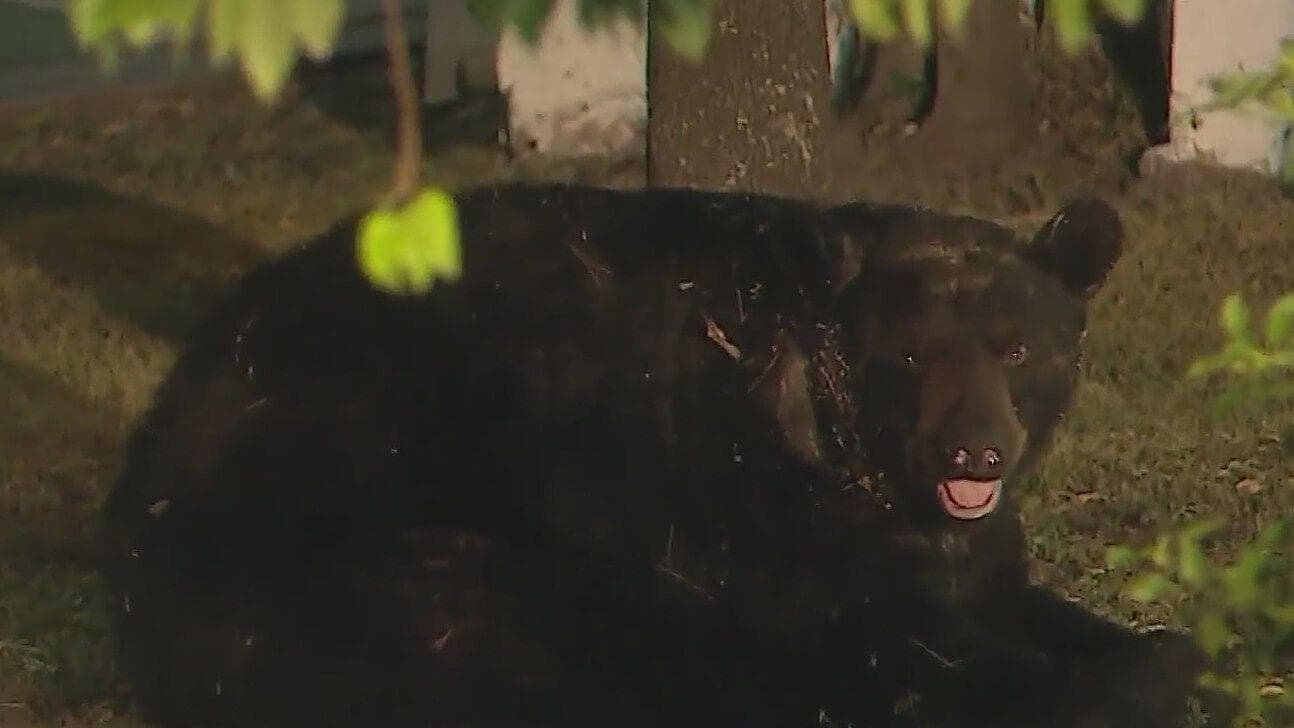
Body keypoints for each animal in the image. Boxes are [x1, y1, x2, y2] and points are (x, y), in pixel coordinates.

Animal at [101, 183, 1201, 727]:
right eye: (910, 353)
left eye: (1017, 348)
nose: (976, 450)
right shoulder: (753, 517)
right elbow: (898, 642)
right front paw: (1106, 689)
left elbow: (1018, 598)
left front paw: (1141, 648)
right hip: (360, 505)